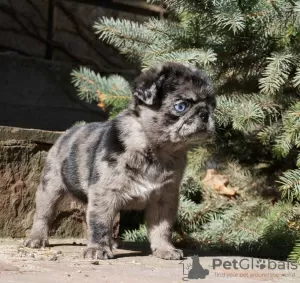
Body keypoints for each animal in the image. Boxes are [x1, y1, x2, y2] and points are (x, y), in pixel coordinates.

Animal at [24, 62, 216, 262]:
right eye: (181, 106)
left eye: (213, 105)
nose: (205, 114)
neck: (157, 149)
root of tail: (67, 132)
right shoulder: (104, 193)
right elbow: (100, 223)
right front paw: (98, 249)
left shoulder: (164, 199)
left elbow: (162, 228)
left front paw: (165, 249)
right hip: (50, 187)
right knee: (43, 215)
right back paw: (37, 238)